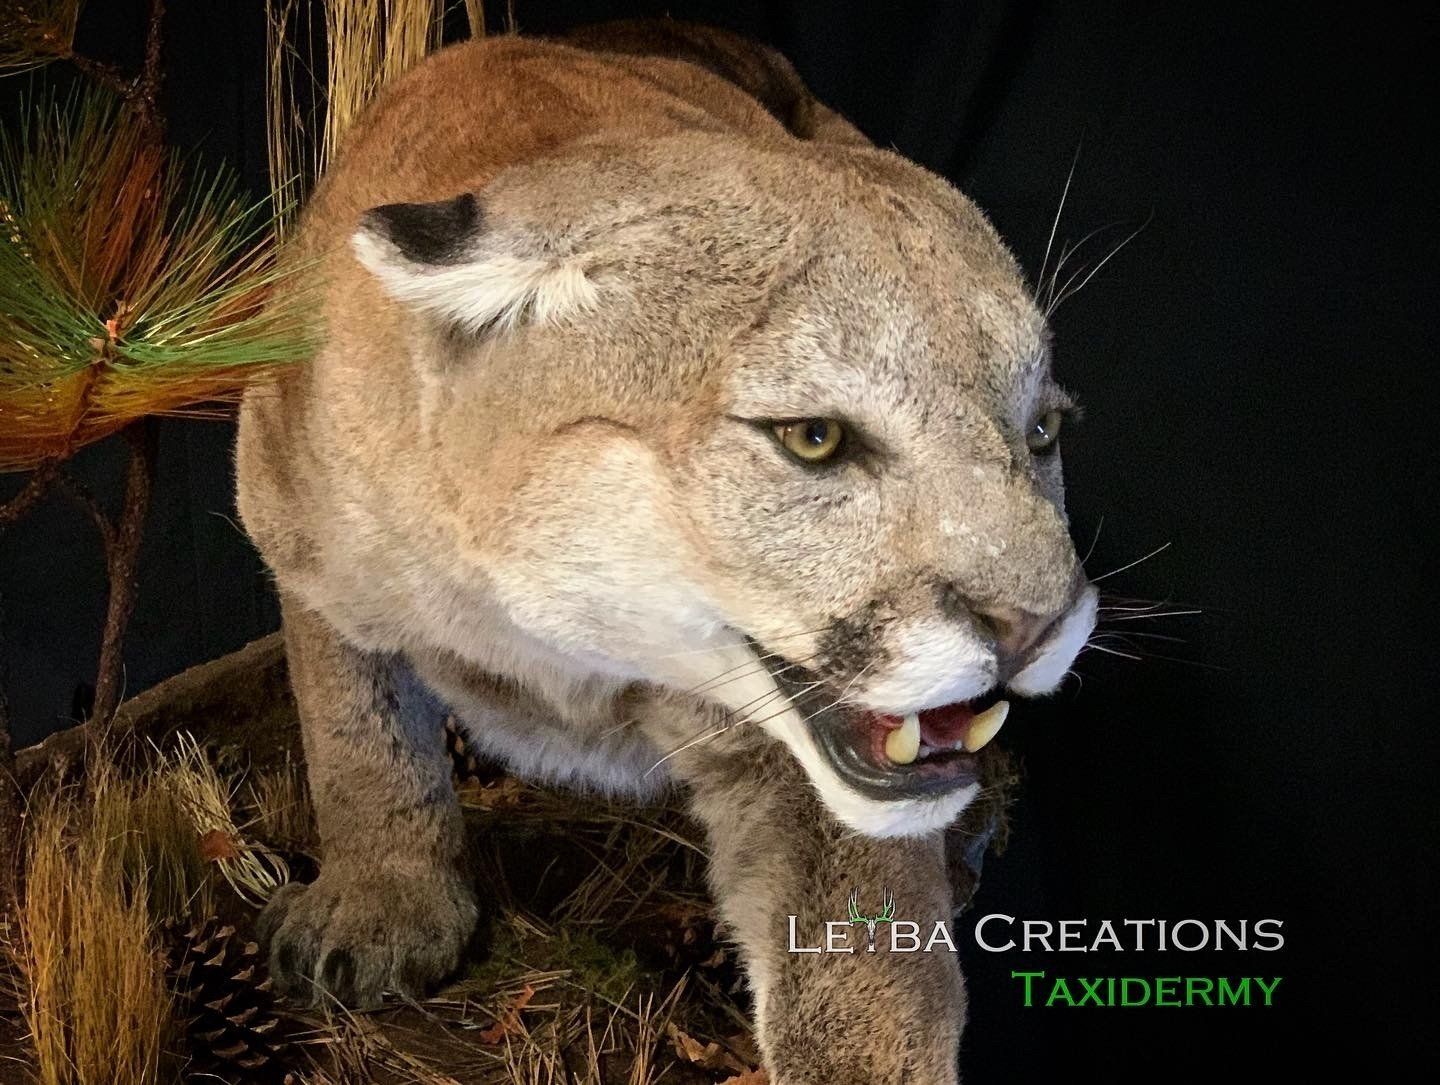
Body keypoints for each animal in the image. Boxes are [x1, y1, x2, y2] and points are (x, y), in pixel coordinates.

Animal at [236, 22, 1096, 1083]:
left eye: (1042, 432)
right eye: (814, 437)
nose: (1037, 626)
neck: (557, 636)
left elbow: (859, 970)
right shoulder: (292, 518)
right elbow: (355, 725)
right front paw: (380, 898)